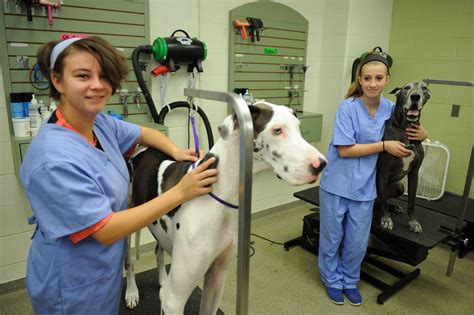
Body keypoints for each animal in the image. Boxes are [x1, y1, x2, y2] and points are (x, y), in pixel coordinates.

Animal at [124, 102, 328, 314]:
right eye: (277, 130)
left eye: (298, 128)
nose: (321, 164)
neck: (220, 197)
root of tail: (142, 147)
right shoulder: (174, 300)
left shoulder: (216, 278)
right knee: (129, 261)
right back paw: (131, 292)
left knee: (159, 252)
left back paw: (163, 279)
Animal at [376, 82, 432, 233]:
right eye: (406, 88)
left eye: (424, 88)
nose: (415, 96)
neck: (405, 129)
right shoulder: (382, 172)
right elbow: (384, 201)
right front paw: (386, 219)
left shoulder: (414, 173)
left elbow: (411, 201)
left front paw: (413, 222)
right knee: (380, 200)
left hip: (399, 186)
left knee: (380, 201)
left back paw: (394, 208)